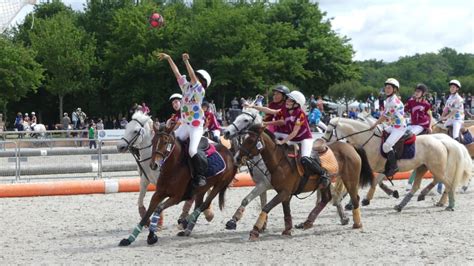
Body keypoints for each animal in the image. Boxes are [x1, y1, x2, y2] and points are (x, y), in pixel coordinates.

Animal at [237, 123, 374, 240]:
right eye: (243, 139)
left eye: (250, 140)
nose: (237, 158)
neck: (280, 162)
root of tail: (351, 146)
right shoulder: (284, 193)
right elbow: (286, 211)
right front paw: (287, 230)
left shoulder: (284, 192)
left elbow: (266, 207)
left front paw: (255, 231)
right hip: (325, 184)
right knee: (326, 199)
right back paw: (307, 222)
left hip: (350, 179)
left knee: (355, 198)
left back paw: (357, 223)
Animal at [322, 117, 470, 211]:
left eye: (328, 131)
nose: (323, 144)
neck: (368, 141)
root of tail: (442, 141)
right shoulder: (379, 169)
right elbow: (375, 182)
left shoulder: (374, 168)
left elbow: (368, 182)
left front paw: (357, 201)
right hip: (423, 167)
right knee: (423, 185)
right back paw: (404, 204)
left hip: (436, 168)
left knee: (448, 183)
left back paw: (449, 204)